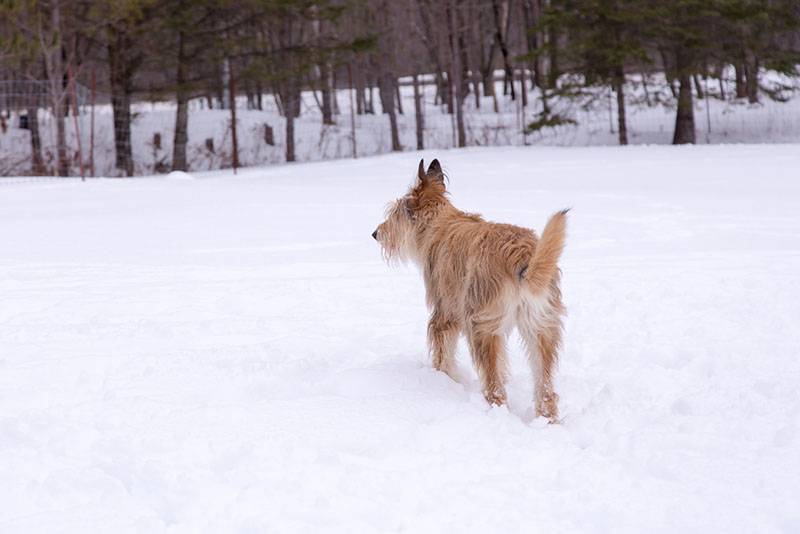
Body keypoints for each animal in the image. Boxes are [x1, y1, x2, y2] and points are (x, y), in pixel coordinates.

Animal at [376, 159, 568, 422]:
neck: (441, 223)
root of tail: (523, 256)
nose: (375, 233)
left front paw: (442, 378)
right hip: (542, 327)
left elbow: (442, 354)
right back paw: (547, 421)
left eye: (395, 214)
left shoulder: (444, 314)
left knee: (496, 389)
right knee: (546, 389)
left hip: (480, 326)